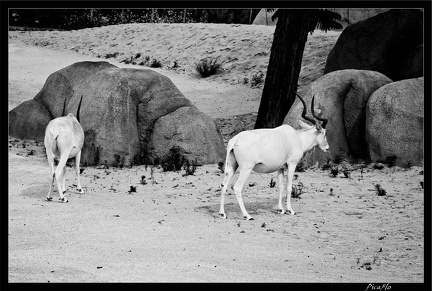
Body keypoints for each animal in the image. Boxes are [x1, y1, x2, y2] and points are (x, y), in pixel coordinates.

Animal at [218, 93, 330, 221]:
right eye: (324, 132)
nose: (327, 148)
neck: (297, 138)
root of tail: (235, 140)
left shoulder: (281, 168)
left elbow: (280, 186)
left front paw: (280, 209)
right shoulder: (292, 164)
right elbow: (288, 187)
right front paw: (290, 210)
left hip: (232, 166)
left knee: (224, 185)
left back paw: (222, 213)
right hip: (246, 169)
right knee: (237, 187)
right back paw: (247, 215)